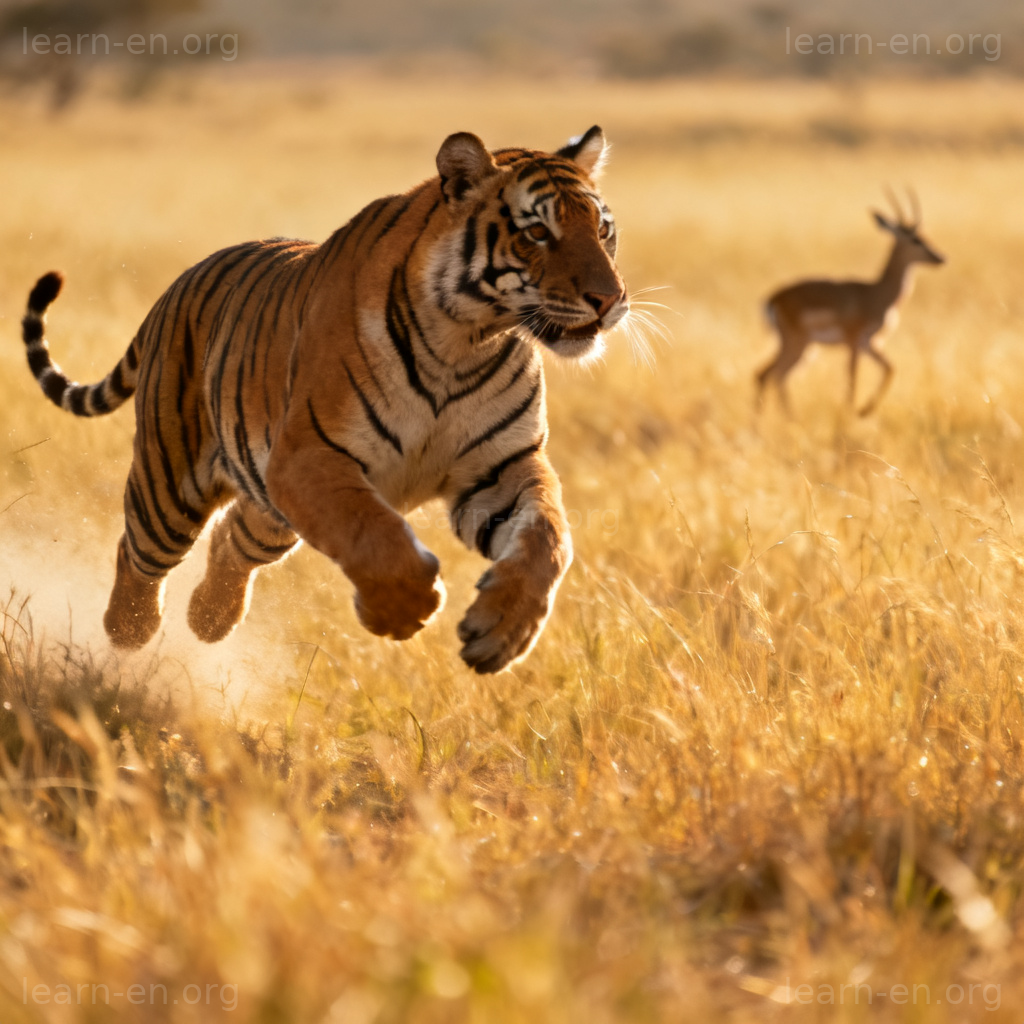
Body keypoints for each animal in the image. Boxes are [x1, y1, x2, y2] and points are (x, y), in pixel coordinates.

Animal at [21, 126, 628, 674]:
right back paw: (129, 631)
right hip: (172, 488)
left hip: (268, 512)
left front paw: (502, 632)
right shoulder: (309, 458)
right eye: (537, 232)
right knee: (138, 550)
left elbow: (548, 538)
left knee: (231, 538)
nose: (610, 299)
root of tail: (175, 286)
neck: (468, 340)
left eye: (602, 230)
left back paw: (209, 621)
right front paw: (403, 610)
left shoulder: (502, 467)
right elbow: (373, 533)